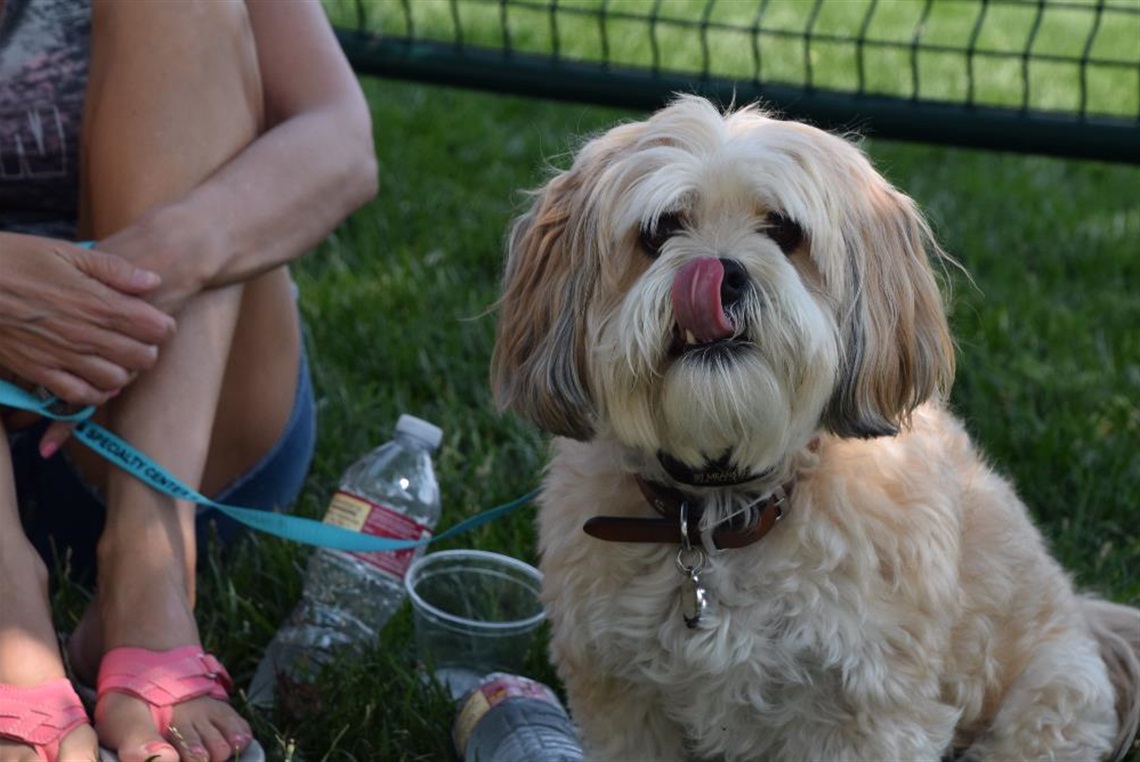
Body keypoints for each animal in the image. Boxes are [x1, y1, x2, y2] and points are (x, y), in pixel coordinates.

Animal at [490, 96, 1140, 762]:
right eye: (660, 230)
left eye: (783, 230)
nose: (719, 274)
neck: (723, 513)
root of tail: (1086, 617)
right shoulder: (624, 703)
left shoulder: (869, 713)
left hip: (1048, 703)